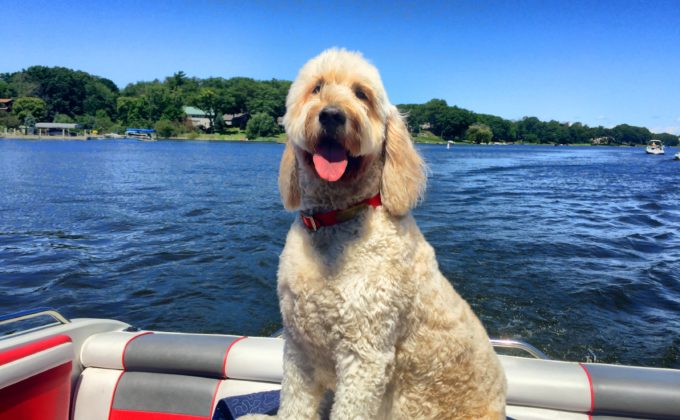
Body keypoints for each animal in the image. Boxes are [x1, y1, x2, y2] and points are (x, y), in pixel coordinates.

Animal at [252, 48, 502, 420]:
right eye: (317, 87)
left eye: (361, 94)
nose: (332, 115)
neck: (336, 221)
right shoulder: (299, 348)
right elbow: (294, 405)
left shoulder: (365, 355)